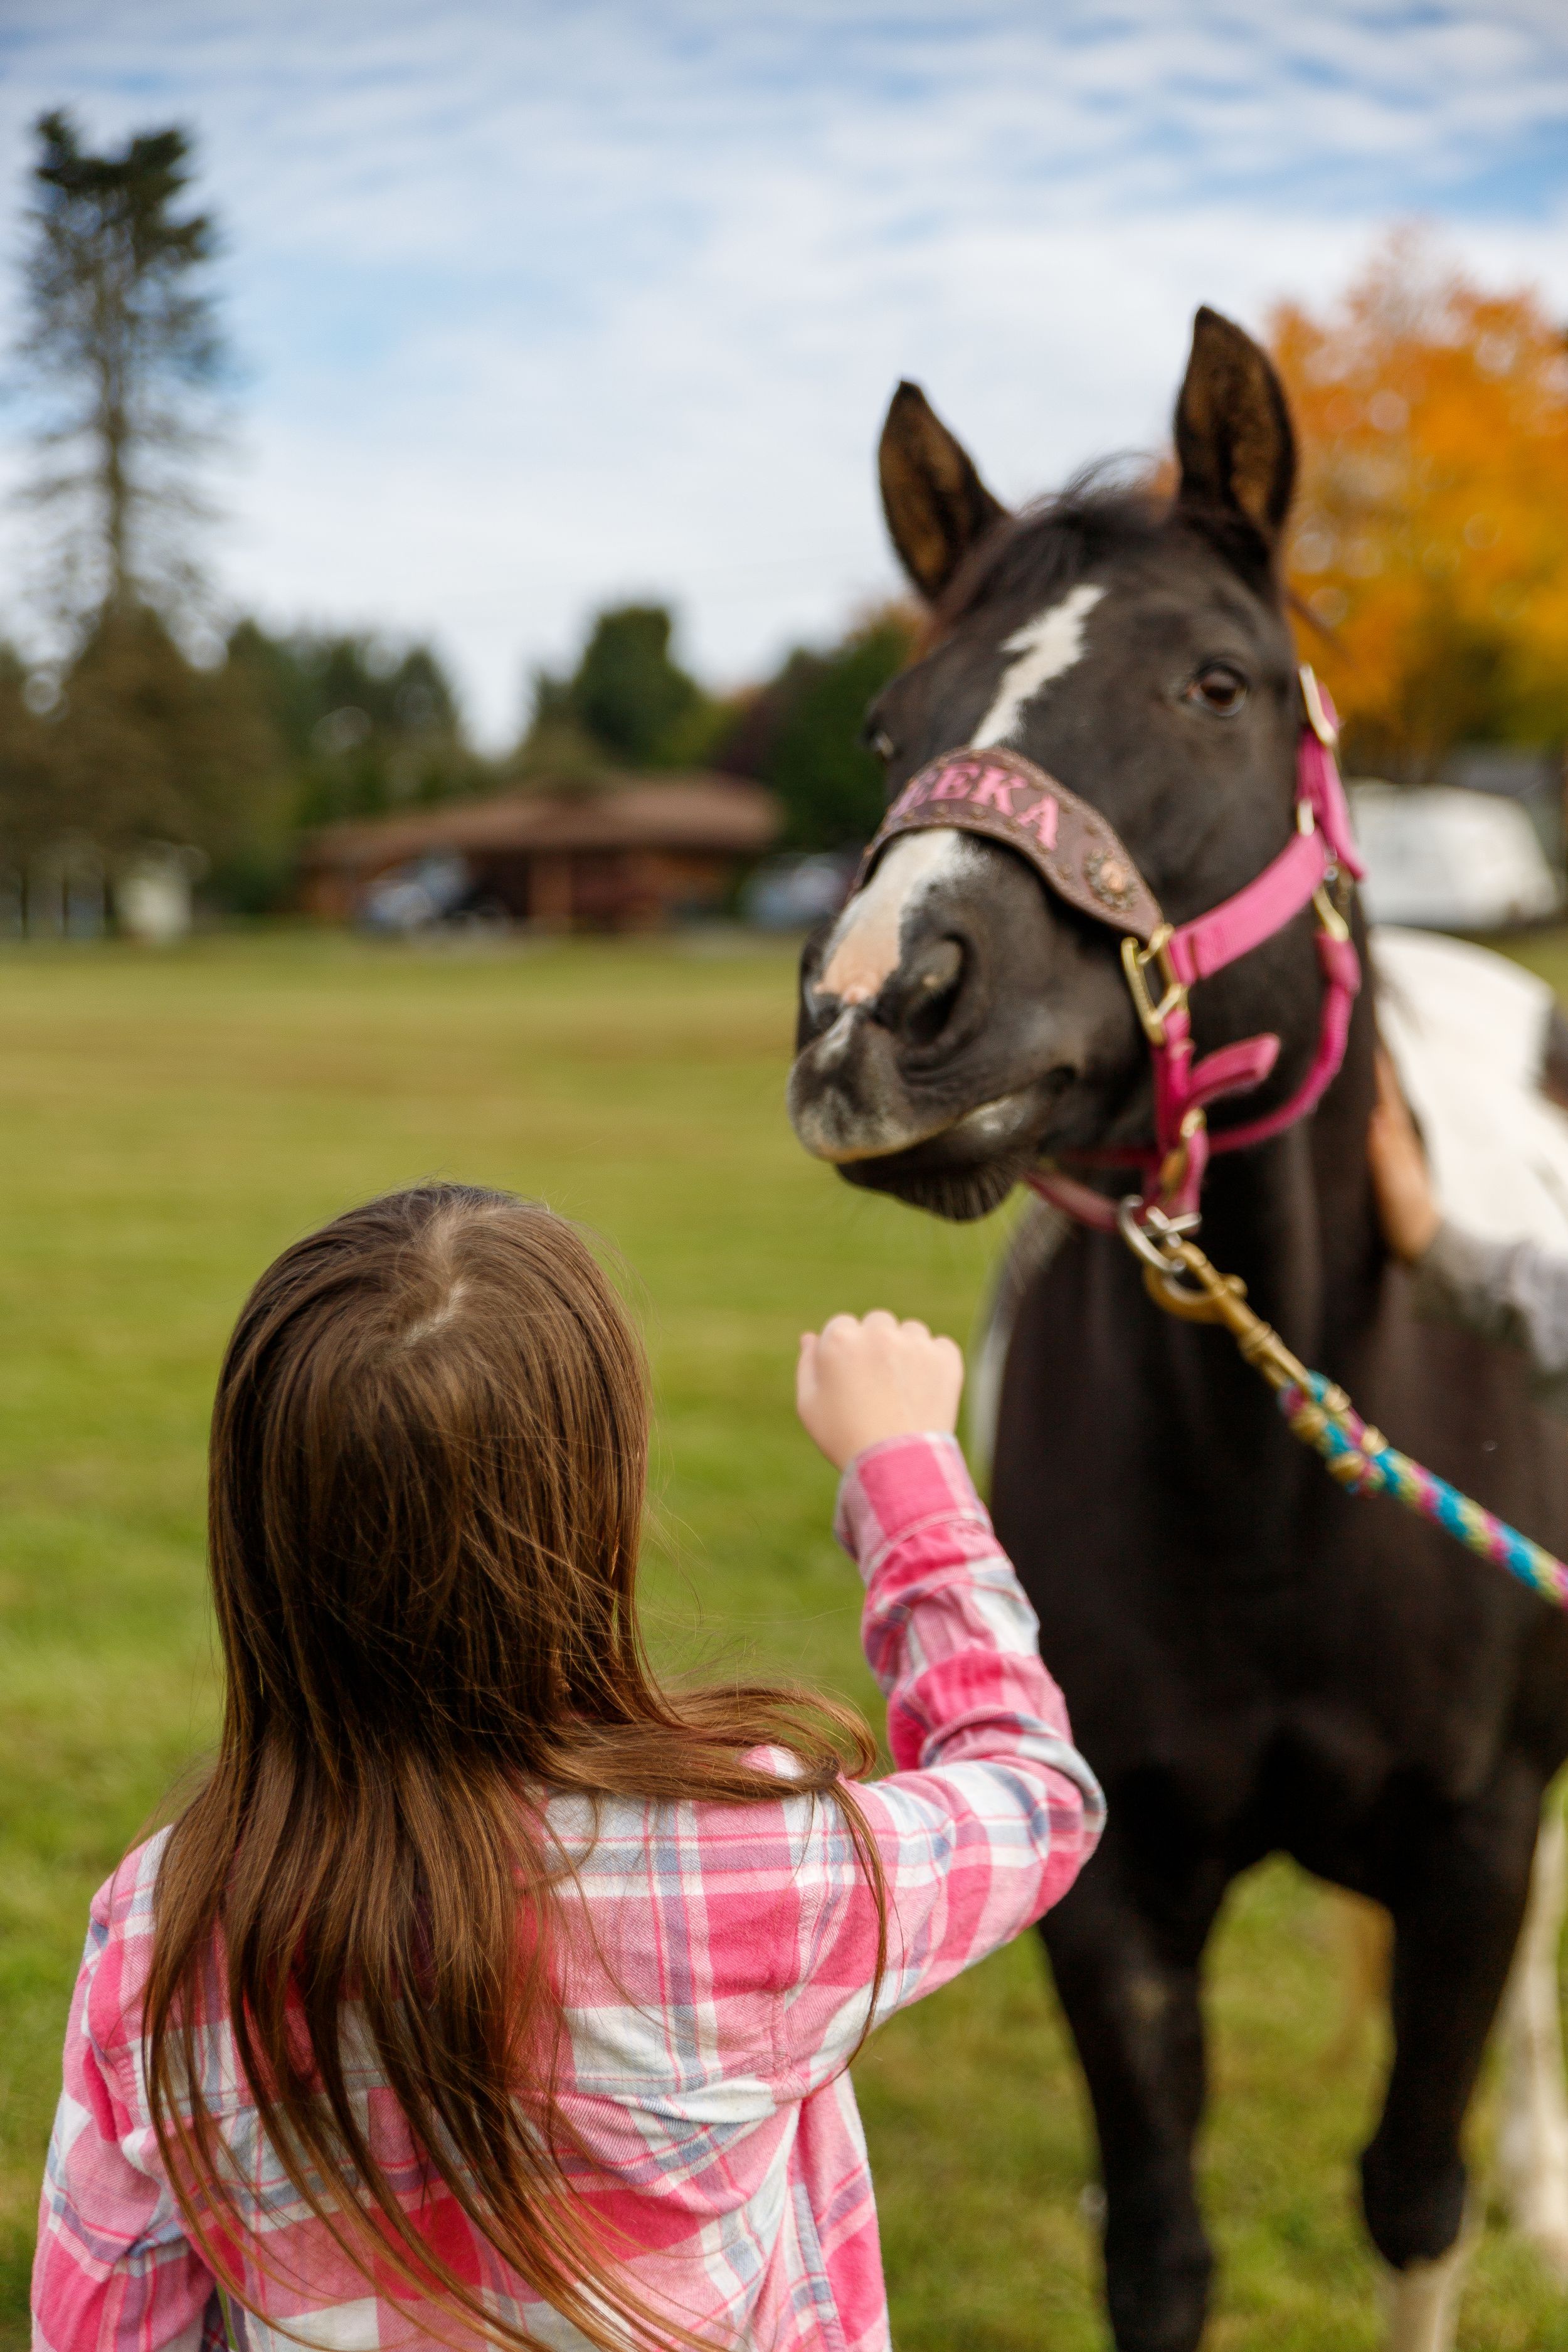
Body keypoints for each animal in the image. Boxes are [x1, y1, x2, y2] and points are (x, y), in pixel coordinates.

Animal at [785, 306, 1568, 2352]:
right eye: (890, 728)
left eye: (1217, 683)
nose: (874, 1003)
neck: (1268, 1488)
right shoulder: (1116, 1870)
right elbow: (1157, 2246)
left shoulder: (1469, 1844)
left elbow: (1411, 2197)